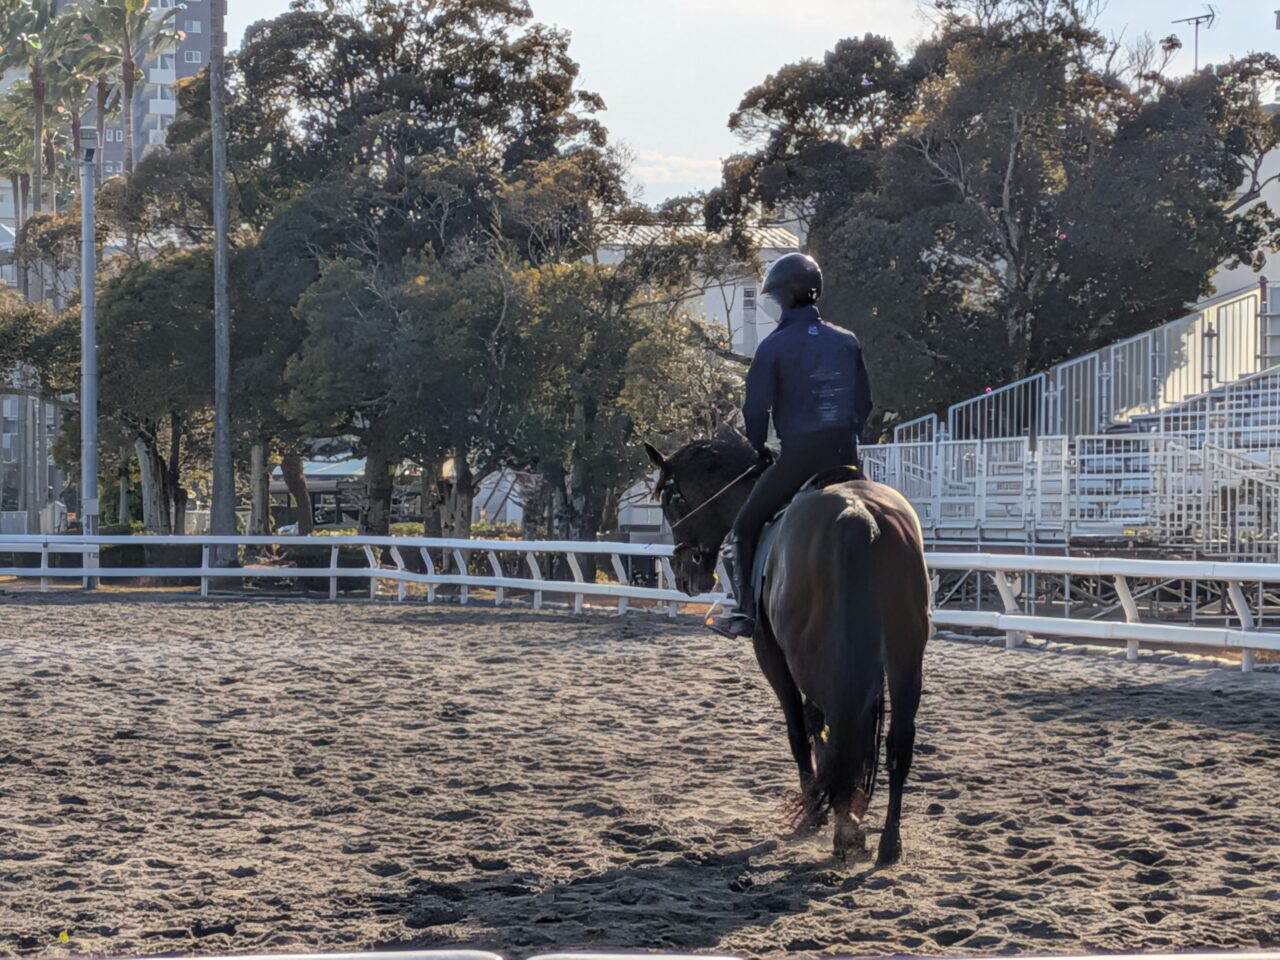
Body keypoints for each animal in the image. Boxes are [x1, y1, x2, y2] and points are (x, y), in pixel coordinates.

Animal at [644, 428, 930, 864]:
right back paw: (886, 843)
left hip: (810, 655)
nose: (684, 574)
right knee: (897, 739)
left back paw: (838, 824)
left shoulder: (771, 653)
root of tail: (859, 517)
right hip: (903, 656)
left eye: (673, 501)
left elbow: (800, 728)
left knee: (835, 723)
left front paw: (819, 810)